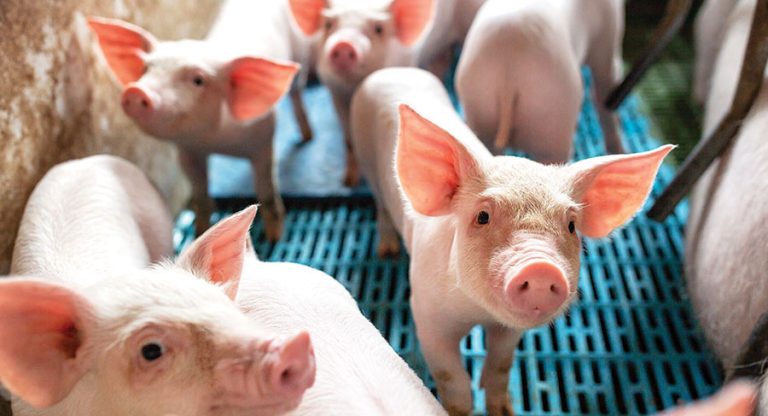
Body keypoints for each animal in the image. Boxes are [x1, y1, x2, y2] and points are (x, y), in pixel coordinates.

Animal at [88, 2, 305, 241]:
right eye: (146, 69)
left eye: (198, 80)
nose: (136, 91)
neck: (215, 142)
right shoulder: (188, 151)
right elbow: (200, 195)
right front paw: (199, 232)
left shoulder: (264, 140)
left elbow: (266, 190)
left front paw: (275, 237)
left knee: (297, 93)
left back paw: (306, 137)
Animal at [287, 0, 435, 186]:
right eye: (328, 24)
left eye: (378, 28)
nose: (344, 44)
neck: (353, 90)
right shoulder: (336, 94)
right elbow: (349, 140)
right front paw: (348, 182)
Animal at [351, 67, 672, 415]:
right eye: (482, 216)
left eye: (572, 225)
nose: (541, 267)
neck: (477, 312)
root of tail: (393, 70)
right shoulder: (428, 317)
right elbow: (454, 382)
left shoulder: (510, 330)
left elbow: (500, 367)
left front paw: (505, 409)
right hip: (367, 163)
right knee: (380, 205)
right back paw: (387, 250)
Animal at [455, 0, 626, 163]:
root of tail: (508, 75)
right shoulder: (606, 45)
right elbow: (605, 99)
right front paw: (620, 151)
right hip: (551, 117)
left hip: (481, 104)